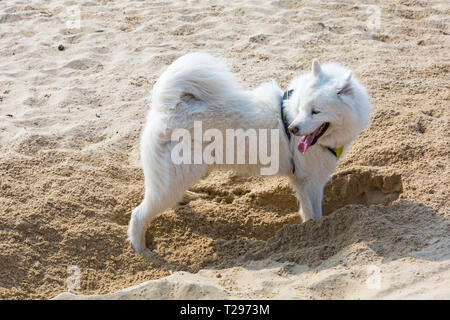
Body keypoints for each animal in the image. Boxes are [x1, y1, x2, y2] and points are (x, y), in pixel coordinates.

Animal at [126, 53, 370, 255]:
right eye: (302, 108)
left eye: (316, 111)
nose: (293, 129)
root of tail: (166, 107)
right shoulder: (308, 181)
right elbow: (313, 213)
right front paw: (316, 232)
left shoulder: (306, 180)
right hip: (171, 179)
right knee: (138, 214)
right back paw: (142, 251)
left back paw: (186, 198)